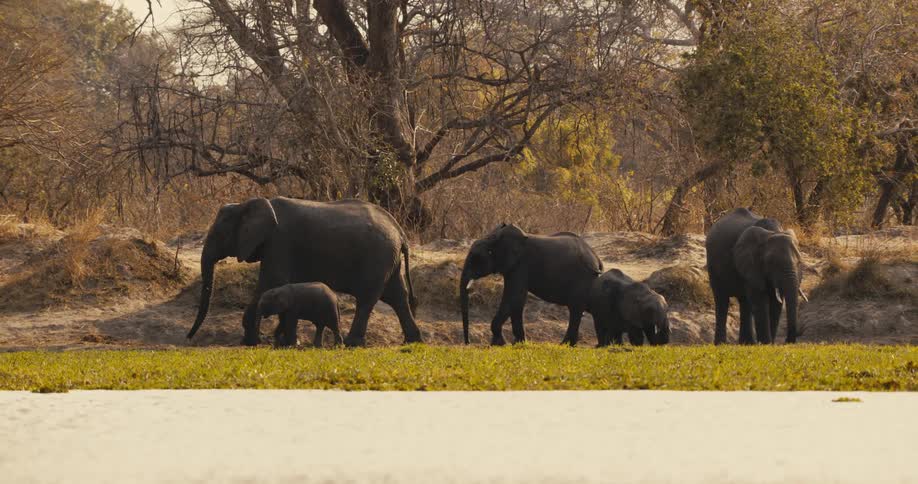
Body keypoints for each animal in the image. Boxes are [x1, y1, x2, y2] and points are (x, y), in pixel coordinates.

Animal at [187, 197, 422, 347]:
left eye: (218, 235)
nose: (189, 338)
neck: (247, 204)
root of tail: (399, 230)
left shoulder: (279, 242)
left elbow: (271, 282)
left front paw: (253, 341)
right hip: (388, 259)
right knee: (396, 296)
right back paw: (413, 341)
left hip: (377, 257)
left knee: (368, 298)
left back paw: (353, 343)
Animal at [459, 224, 603, 346]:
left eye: (474, 257)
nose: (468, 343)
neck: (494, 238)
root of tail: (597, 259)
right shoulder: (512, 267)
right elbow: (516, 301)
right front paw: (516, 343)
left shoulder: (521, 265)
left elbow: (515, 297)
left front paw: (500, 344)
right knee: (576, 310)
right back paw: (570, 345)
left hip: (582, 278)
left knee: (575, 309)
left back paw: (564, 345)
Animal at [705, 208, 808, 344]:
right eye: (771, 263)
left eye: (799, 262)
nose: (787, 341)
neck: (773, 232)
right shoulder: (751, 264)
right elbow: (760, 301)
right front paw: (766, 343)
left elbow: (775, 303)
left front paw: (770, 344)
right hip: (712, 265)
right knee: (721, 300)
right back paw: (721, 344)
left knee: (745, 302)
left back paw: (747, 343)